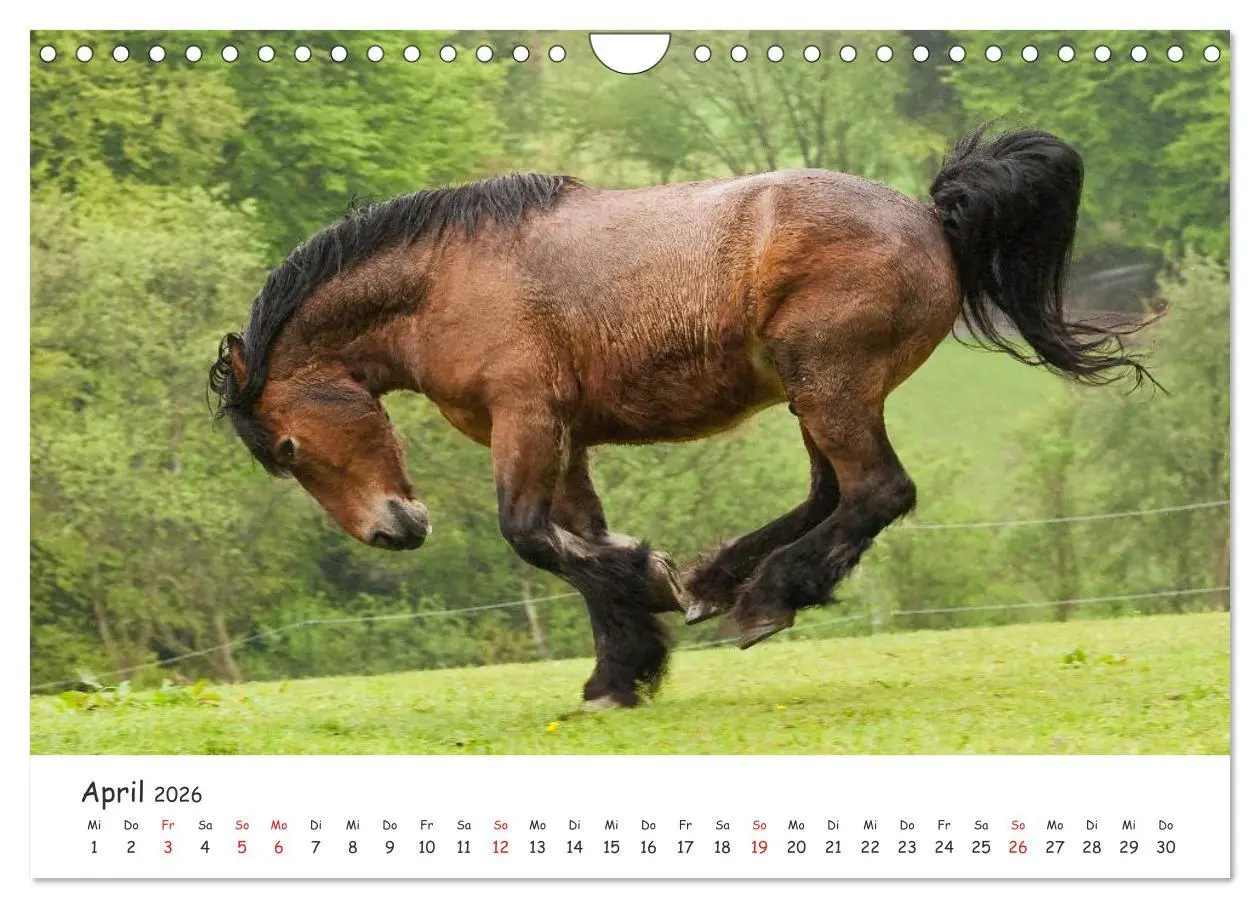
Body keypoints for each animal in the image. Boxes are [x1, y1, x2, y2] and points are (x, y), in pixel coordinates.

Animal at [210, 127, 1149, 710]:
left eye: (288, 447)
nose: (392, 531)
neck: (448, 281)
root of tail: (930, 216)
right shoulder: (568, 438)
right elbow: (576, 543)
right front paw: (620, 671)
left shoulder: (528, 421)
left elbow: (534, 538)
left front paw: (648, 582)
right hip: (815, 394)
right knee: (831, 494)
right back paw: (720, 581)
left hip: (829, 383)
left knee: (879, 491)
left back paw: (763, 598)